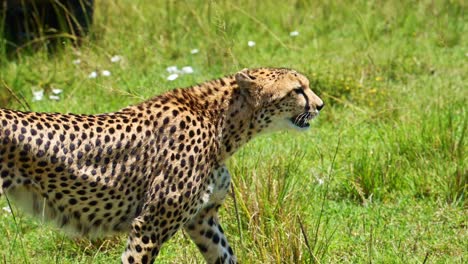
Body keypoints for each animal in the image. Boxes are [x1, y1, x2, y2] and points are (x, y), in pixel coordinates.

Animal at [0, 67, 322, 262]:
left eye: (305, 86)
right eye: (297, 90)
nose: (320, 105)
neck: (221, 122)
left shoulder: (202, 219)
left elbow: (225, 255)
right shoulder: (149, 225)